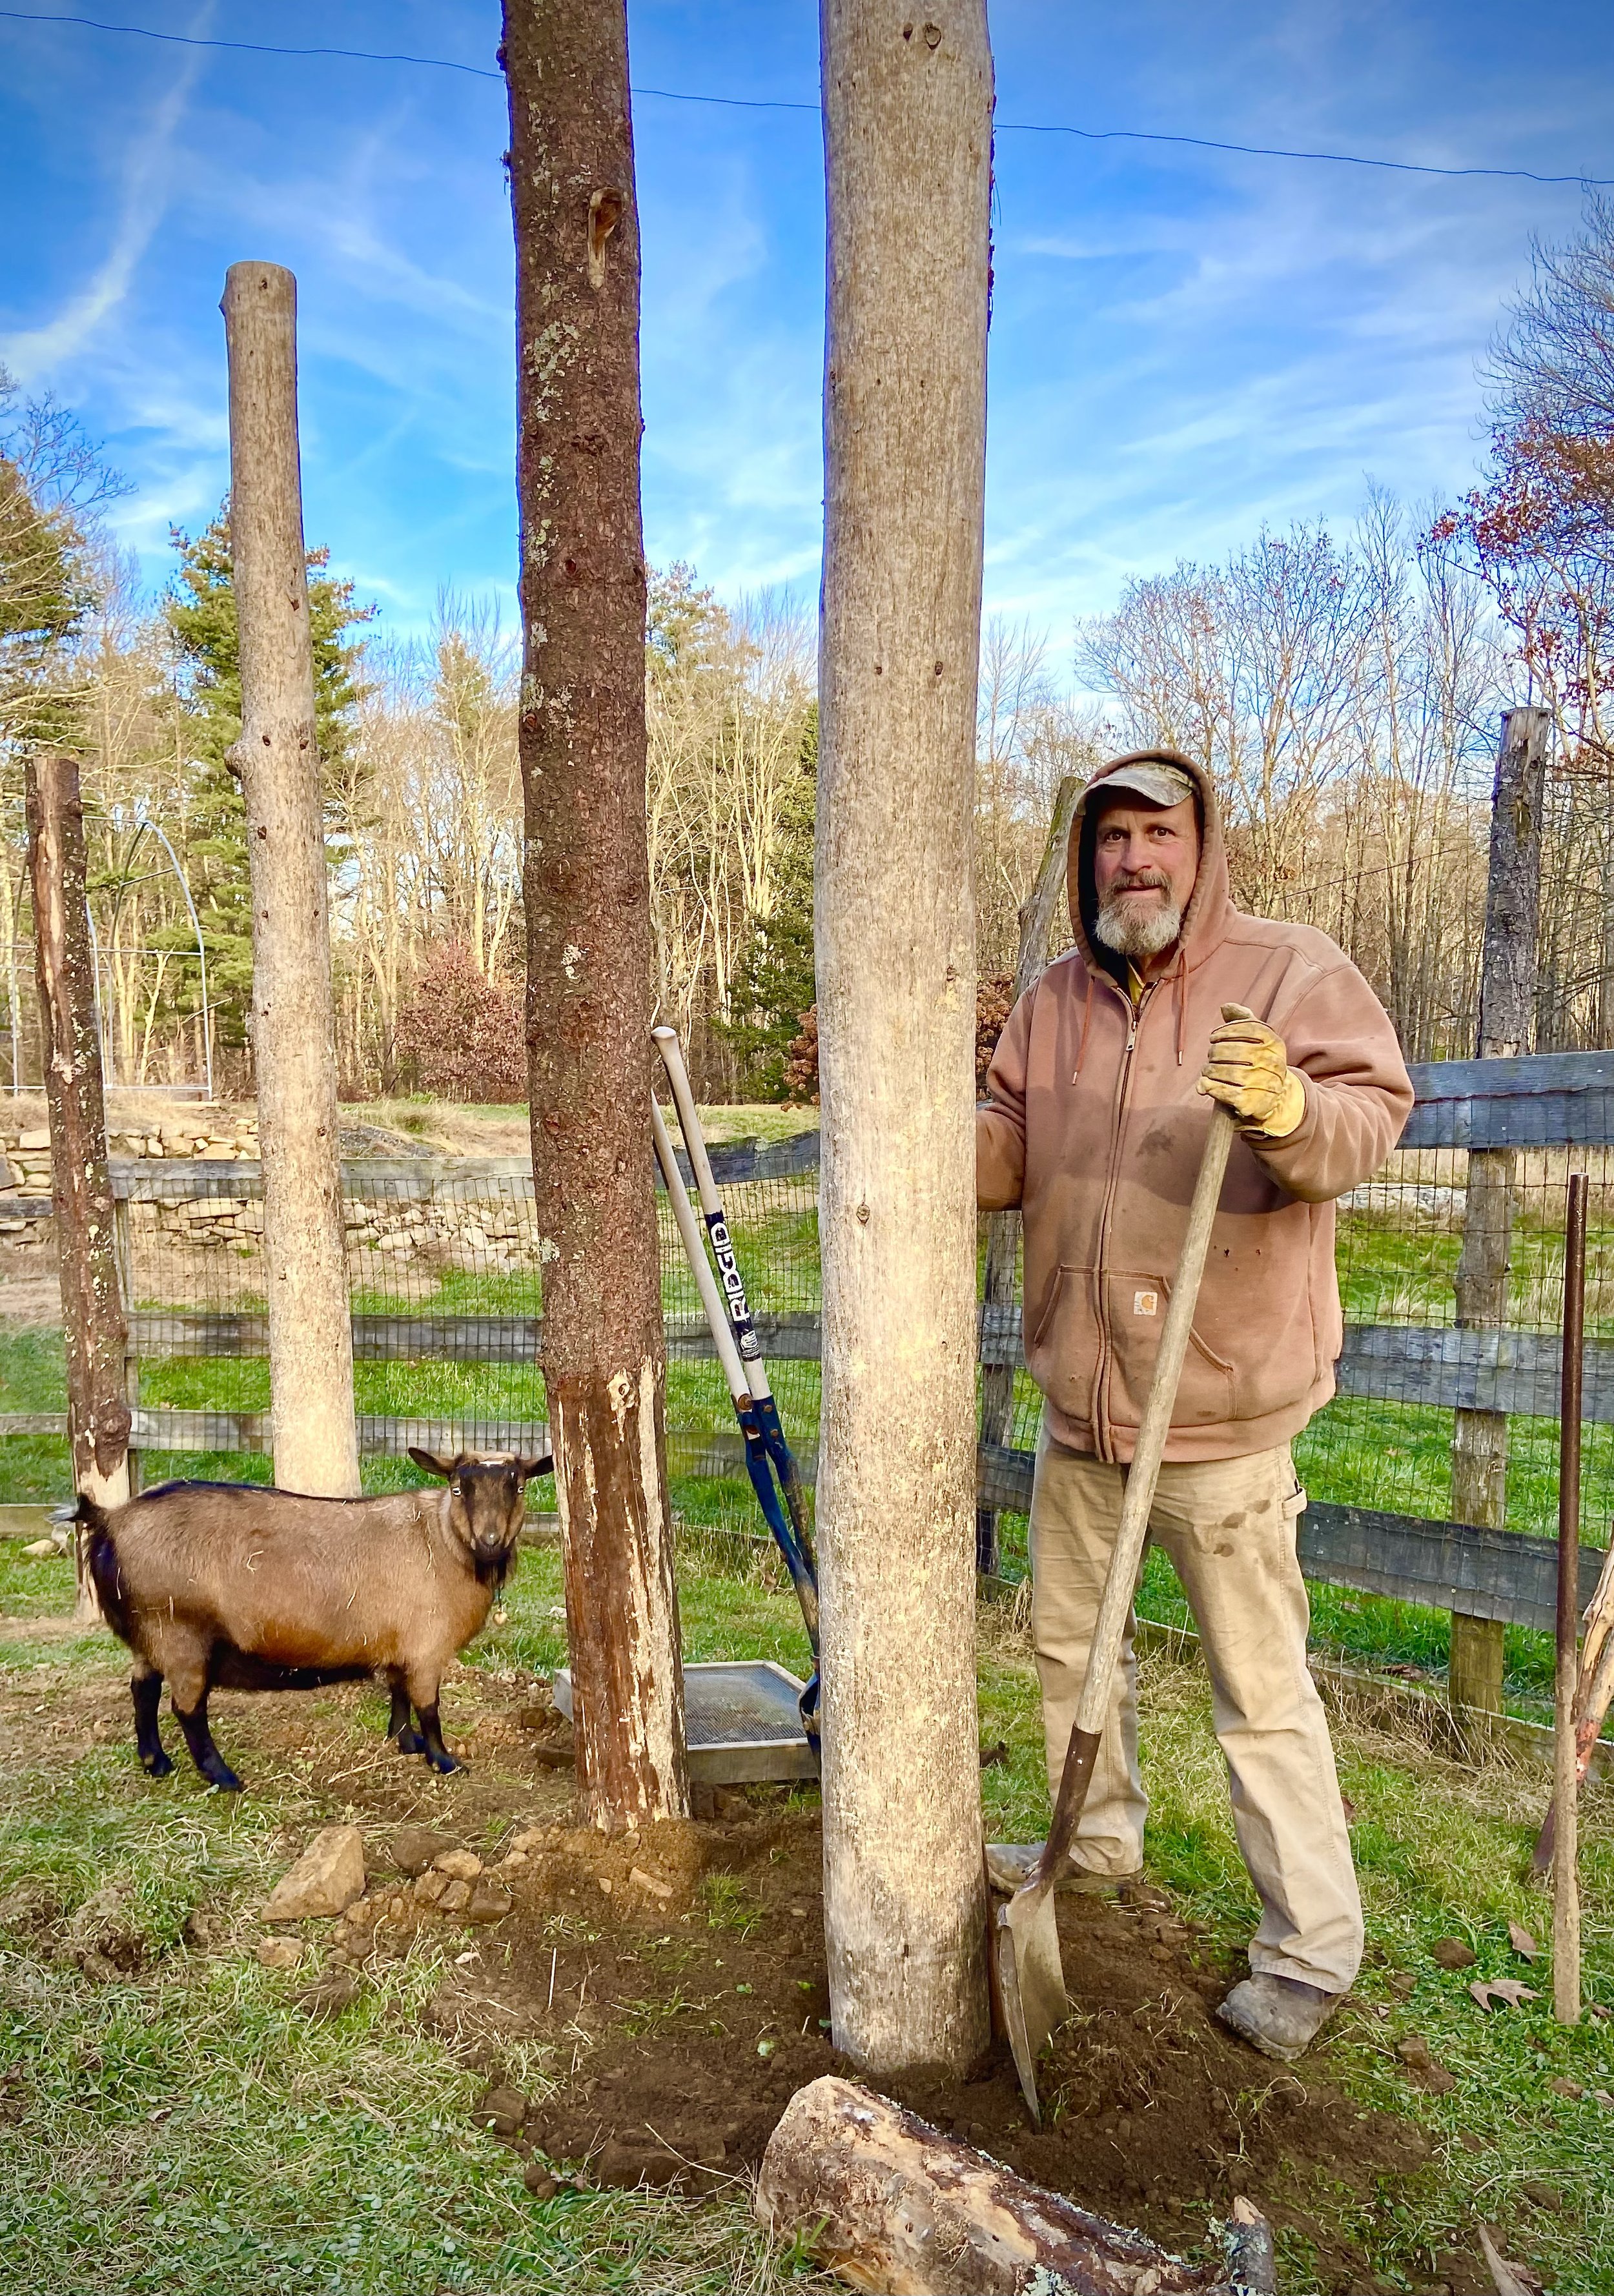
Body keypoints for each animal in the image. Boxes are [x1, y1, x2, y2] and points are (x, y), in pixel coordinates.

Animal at [80, 1451, 548, 1791]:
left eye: (519, 1486)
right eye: (457, 1488)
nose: (490, 1541)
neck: (444, 1542)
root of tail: (109, 1521)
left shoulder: (400, 1644)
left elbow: (398, 1694)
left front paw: (405, 1743)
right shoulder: (427, 1648)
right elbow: (428, 1707)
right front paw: (444, 1761)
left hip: (150, 1635)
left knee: (143, 1689)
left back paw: (155, 1761)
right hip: (180, 1636)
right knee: (187, 1708)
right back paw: (224, 1777)